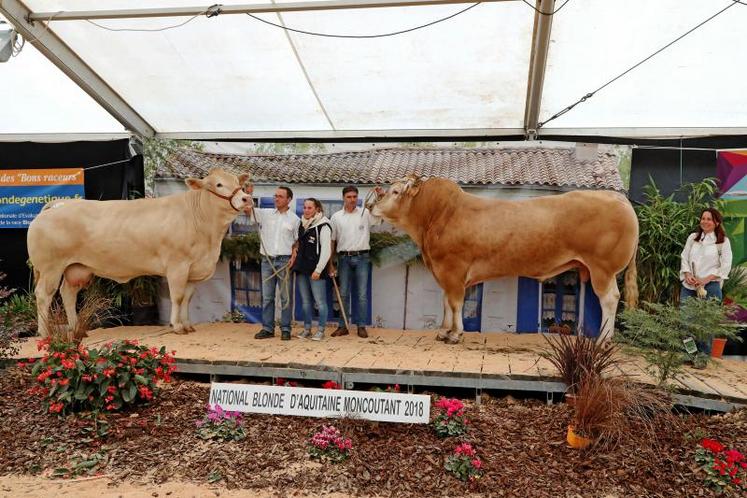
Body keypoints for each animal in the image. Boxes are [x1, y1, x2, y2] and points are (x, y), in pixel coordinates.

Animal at [27, 169, 253, 336]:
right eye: (218, 184)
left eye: (238, 182)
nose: (246, 198)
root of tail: (57, 204)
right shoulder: (177, 266)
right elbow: (178, 296)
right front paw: (177, 326)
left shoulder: (193, 270)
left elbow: (187, 298)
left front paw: (188, 325)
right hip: (50, 268)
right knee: (43, 295)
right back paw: (45, 333)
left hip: (76, 268)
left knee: (68, 293)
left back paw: (77, 330)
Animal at [368, 175, 636, 342]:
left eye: (395, 191)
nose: (371, 206)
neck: (437, 216)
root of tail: (617, 198)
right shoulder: (444, 273)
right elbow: (445, 302)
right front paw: (444, 331)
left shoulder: (453, 269)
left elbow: (455, 303)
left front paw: (455, 334)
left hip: (602, 269)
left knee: (609, 299)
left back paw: (603, 340)